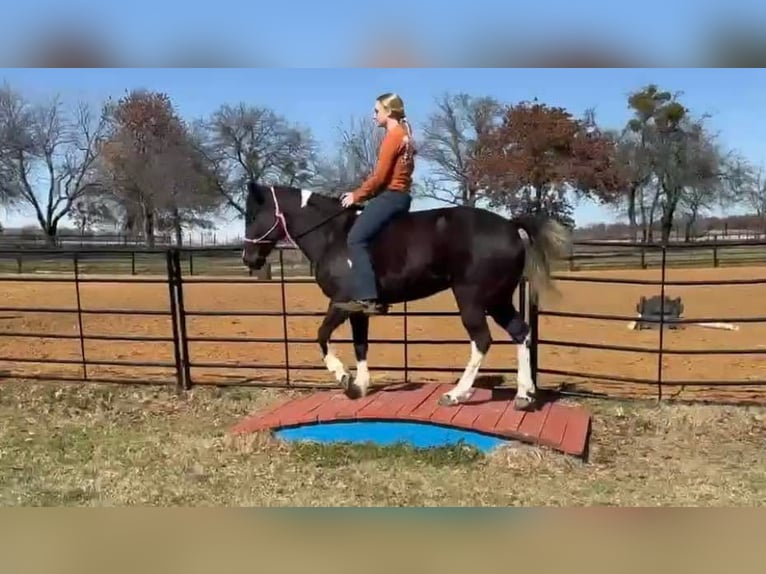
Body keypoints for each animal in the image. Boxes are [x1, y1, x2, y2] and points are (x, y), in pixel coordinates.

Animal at [243, 182, 572, 412]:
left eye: (253, 215)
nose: (249, 259)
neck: (331, 235)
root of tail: (511, 226)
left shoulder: (341, 303)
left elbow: (322, 336)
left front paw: (344, 378)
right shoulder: (360, 309)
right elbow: (361, 345)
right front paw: (360, 386)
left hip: (473, 299)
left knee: (482, 340)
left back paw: (456, 395)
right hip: (497, 300)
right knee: (521, 333)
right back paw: (524, 397)